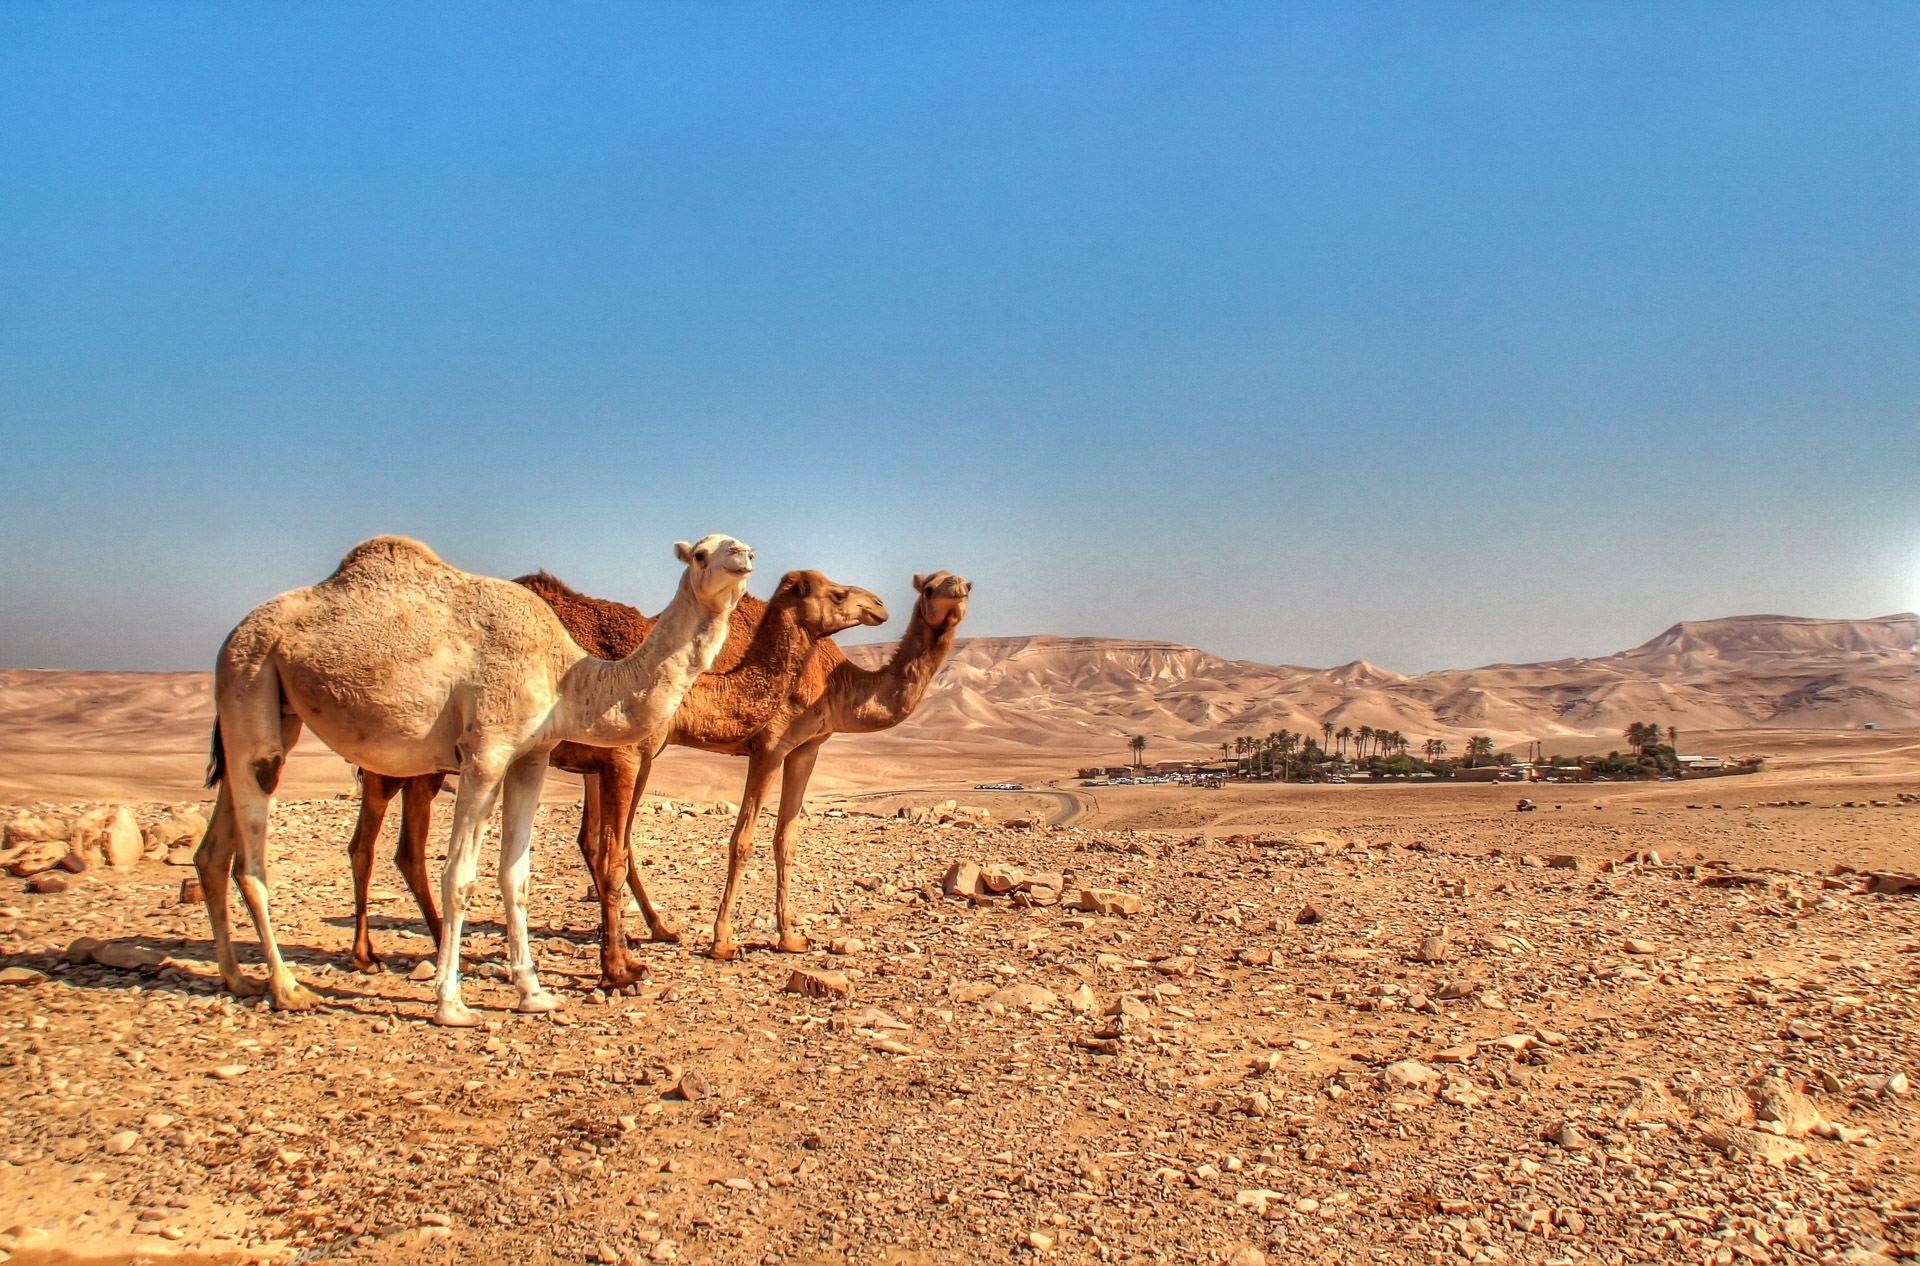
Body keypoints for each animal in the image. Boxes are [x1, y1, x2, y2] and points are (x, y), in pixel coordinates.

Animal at [194, 530, 748, 1022]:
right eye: (700, 553)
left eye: (737, 542)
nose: (743, 554)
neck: (570, 676)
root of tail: (234, 633)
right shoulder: (487, 751)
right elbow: (460, 876)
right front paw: (451, 1004)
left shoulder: (532, 756)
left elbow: (516, 875)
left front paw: (534, 993)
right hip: (249, 676)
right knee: (256, 860)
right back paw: (290, 988)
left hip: (272, 708)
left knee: (215, 850)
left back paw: (238, 978)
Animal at [345, 568, 883, 991]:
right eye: (836, 593)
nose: (877, 603)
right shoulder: (624, 757)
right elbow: (611, 856)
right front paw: (620, 970)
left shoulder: (620, 761)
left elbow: (610, 847)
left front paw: (645, 941)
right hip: (390, 757)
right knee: (367, 844)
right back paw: (369, 955)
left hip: (427, 768)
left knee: (404, 848)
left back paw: (436, 946)